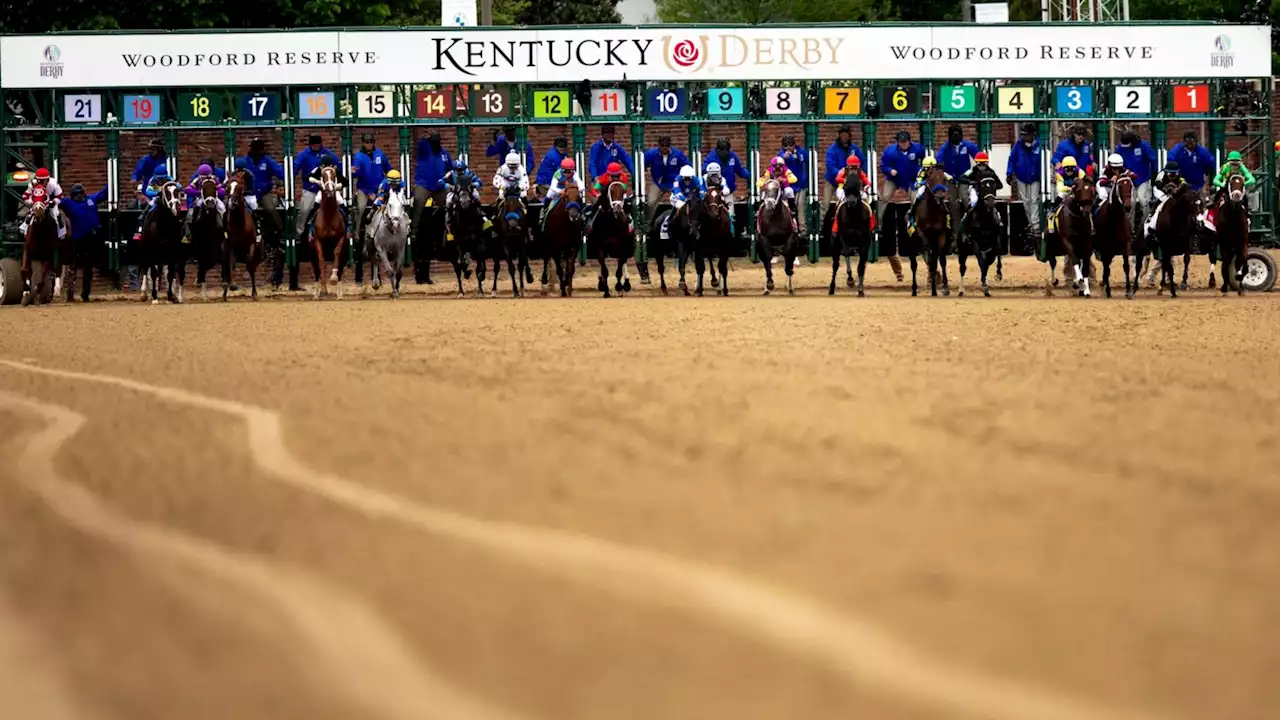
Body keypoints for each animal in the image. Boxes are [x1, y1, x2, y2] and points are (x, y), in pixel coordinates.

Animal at [309, 166, 350, 298]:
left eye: (334, 175)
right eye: (323, 176)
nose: (330, 190)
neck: (328, 216)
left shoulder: (340, 238)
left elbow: (336, 253)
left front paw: (333, 278)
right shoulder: (317, 241)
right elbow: (321, 260)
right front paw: (322, 287)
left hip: (345, 254)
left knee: (340, 270)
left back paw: (339, 293)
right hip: (311, 255)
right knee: (316, 271)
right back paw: (317, 293)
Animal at [911, 165, 952, 294]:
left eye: (944, 178)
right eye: (931, 178)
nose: (940, 195)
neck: (931, 211)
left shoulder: (941, 234)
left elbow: (942, 259)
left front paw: (945, 287)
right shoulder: (922, 233)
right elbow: (929, 257)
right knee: (925, 257)